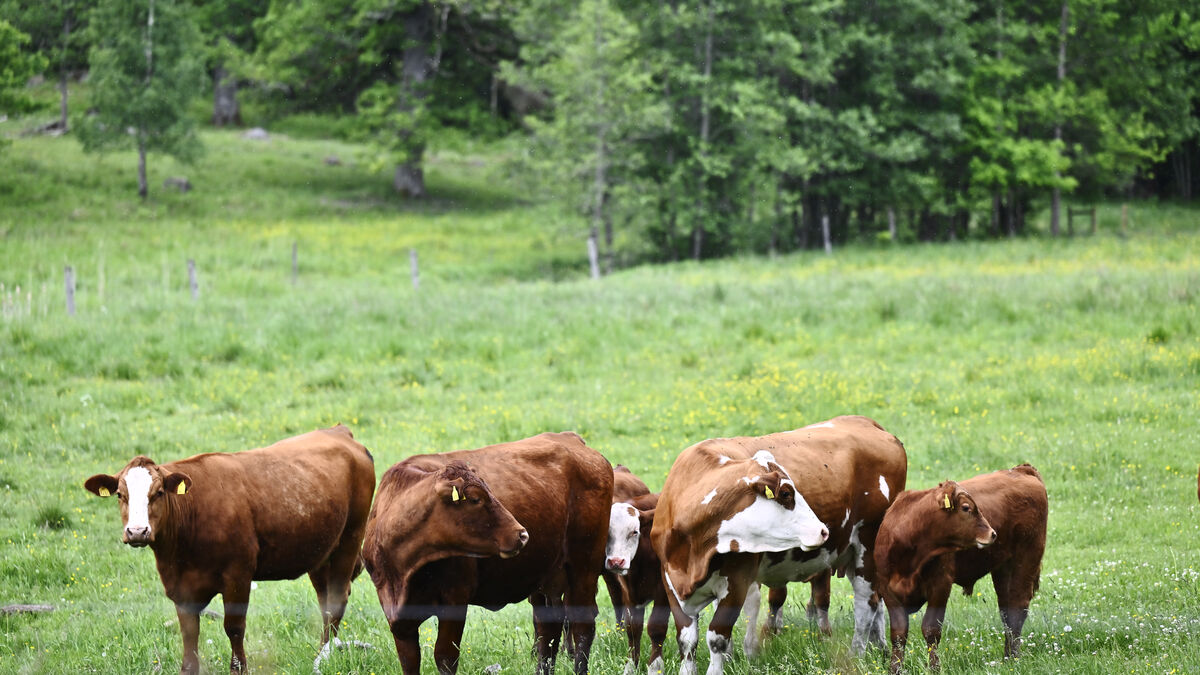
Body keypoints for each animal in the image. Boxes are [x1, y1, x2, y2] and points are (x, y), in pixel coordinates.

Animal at [83, 424, 376, 675]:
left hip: (350, 538)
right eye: (120, 495)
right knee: (325, 601)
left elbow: (234, 628)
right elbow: (189, 634)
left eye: (158, 493)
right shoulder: (181, 588)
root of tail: (339, 431)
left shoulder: (237, 576)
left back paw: (325, 657)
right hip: (320, 552)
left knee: (336, 599)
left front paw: (239, 669)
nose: (137, 531)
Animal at [361, 431, 612, 675]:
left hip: (584, 567)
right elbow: (409, 660)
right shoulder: (398, 616)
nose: (522, 534)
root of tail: (571, 439)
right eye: (475, 499)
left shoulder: (455, 598)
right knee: (548, 630)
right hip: (548, 576)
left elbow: (445, 657)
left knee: (582, 626)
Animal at [604, 468, 671, 675]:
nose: (616, 561)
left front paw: (655, 667)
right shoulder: (628, 593)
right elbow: (633, 629)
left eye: (634, 531)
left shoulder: (663, 592)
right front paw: (631, 666)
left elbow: (656, 628)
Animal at [651, 415, 907, 675]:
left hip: (867, 545)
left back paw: (857, 654)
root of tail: (866, 422)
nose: (822, 530)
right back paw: (879, 646)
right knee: (877, 602)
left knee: (866, 604)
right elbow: (687, 640)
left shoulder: (737, 582)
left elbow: (717, 637)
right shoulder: (671, 581)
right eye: (786, 493)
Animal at [874, 464, 1047, 673]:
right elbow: (899, 634)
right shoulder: (887, 589)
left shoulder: (940, 586)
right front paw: (895, 669)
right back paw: (1007, 659)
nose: (992, 533)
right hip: (1003, 567)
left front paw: (935, 668)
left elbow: (931, 630)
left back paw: (1013, 659)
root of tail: (1021, 470)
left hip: (1025, 559)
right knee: (1006, 610)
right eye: (966, 508)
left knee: (1017, 609)